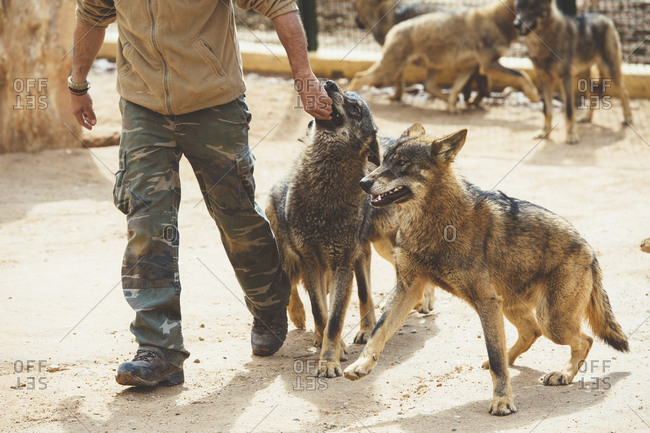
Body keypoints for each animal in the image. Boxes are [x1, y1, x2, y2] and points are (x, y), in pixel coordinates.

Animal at [344, 123, 629, 415]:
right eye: (383, 161)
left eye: (401, 164)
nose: (363, 183)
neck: (437, 222)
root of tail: (589, 249)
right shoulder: (409, 289)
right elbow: (379, 329)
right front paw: (360, 365)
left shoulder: (485, 301)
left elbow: (495, 356)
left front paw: (502, 400)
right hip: (512, 307)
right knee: (531, 332)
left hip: (550, 321)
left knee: (584, 340)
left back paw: (563, 374)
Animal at [349, 0, 540, 112]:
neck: (498, 22)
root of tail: (395, 29)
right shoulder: (488, 66)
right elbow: (522, 75)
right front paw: (534, 97)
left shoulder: (470, 68)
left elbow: (456, 89)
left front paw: (452, 107)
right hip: (391, 68)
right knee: (358, 77)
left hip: (431, 68)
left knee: (429, 86)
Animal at [514, 0, 633, 143]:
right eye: (519, 7)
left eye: (532, 7)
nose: (516, 24)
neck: (545, 42)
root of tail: (606, 17)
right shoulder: (544, 80)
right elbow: (547, 110)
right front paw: (544, 132)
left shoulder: (565, 78)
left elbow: (569, 110)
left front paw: (571, 135)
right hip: (582, 78)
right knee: (593, 95)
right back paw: (587, 118)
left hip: (609, 72)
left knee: (624, 92)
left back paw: (628, 118)